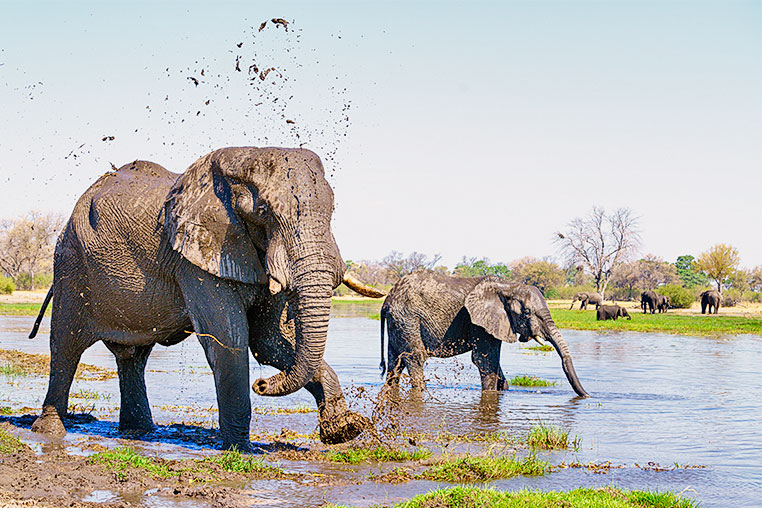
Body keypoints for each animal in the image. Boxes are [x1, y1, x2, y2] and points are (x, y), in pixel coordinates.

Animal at [26, 149, 382, 450]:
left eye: (332, 210)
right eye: (263, 212)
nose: (262, 384)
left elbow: (270, 341)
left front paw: (345, 430)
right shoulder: (196, 257)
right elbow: (230, 338)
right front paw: (241, 451)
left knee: (132, 357)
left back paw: (139, 431)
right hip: (70, 264)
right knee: (65, 346)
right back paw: (49, 432)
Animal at [378, 272, 588, 398]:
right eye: (527, 312)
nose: (587, 396)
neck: (508, 287)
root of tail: (388, 299)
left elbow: (494, 361)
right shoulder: (478, 322)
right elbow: (485, 359)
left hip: (399, 322)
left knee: (395, 361)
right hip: (408, 318)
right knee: (415, 357)